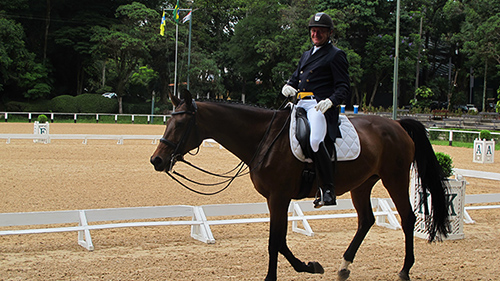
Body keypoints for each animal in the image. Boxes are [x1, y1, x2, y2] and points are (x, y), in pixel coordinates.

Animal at [150, 90, 452, 280]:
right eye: (167, 122)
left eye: (182, 124)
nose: (157, 160)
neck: (265, 138)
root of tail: (397, 124)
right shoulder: (274, 199)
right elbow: (279, 241)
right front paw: (309, 266)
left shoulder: (279, 196)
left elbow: (275, 241)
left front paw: (287, 273)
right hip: (362, 184)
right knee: (366, 220)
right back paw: (344, 266)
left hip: (395, 178)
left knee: (408, 217)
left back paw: (405, 269)